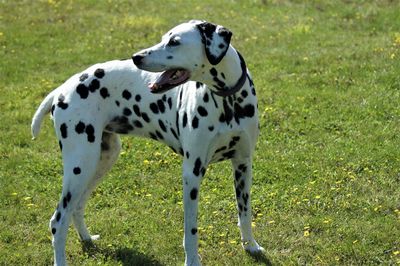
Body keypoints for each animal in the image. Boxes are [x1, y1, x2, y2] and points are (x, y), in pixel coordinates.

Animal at [32, 20, 264, 266]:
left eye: (174, 42)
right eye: (164, 38)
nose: (136, 57)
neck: (229, 103)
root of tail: (62, 90)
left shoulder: (243, 165)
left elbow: (244, 213)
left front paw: (250, 246)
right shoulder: (192, 173)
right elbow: (191, 229)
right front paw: (192, 260)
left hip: (100, 162)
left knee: (76, 206)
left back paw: (87, 238)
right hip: (81, 166)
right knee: (58, 220)